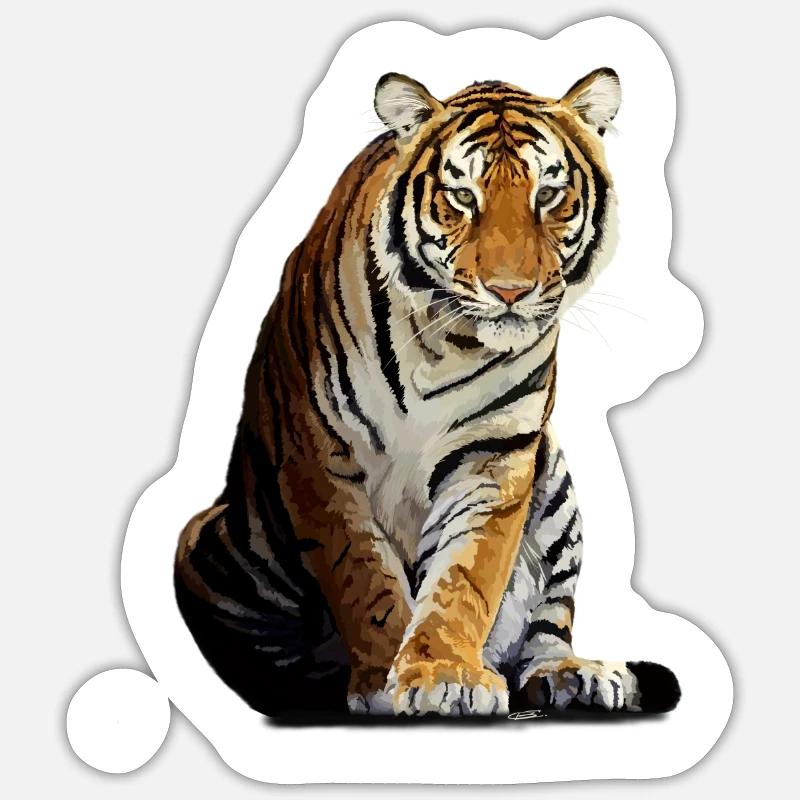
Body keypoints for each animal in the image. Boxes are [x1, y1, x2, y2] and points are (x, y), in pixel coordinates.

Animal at [174, 68, 681, 717]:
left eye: (548, 195)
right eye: (463, 197)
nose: (510, 291)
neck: (447, 346)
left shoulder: (494, 457)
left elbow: (468, 575)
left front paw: (445, 673)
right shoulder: (319, 455)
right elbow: (362, 574)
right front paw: (384, 681)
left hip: (557, 487)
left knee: (548, 626)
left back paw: (577, 676)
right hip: (209, 544)